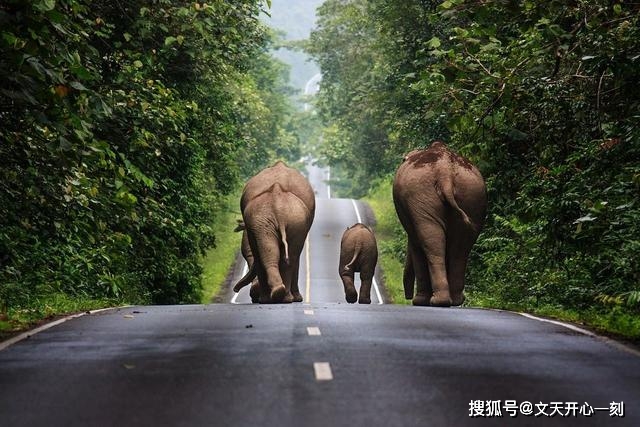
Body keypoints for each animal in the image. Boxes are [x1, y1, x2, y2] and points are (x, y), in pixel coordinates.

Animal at [234, 161, 315, 303]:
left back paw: (274, 297)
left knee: (279, 254)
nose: (235, 289)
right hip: (277, 221)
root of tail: (278, 205)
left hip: (282, 220)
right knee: (286, 255)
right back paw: (279, 296)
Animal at [392, 141, 487, 307]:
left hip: (423, 194)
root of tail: (445, 172)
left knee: (433, 244)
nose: (407, 297)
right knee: (459, 248)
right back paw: (453, 301)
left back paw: (437, 301)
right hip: (469, 195)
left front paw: (419, 301)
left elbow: (415, 244)